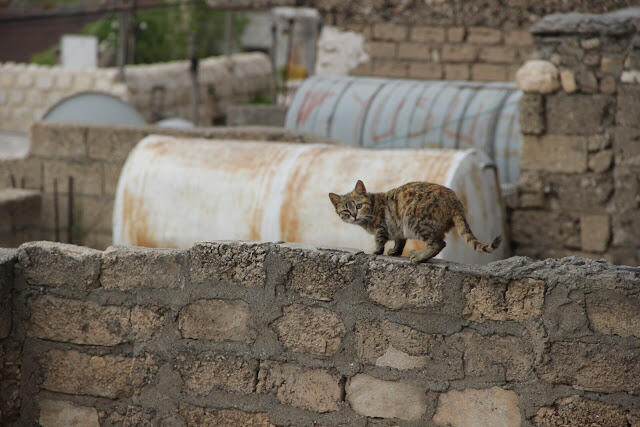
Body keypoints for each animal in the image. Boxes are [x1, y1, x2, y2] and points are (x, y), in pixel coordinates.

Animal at [328, 180, 502, 262]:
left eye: (358, 206)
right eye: (345, 211)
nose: (354, 215)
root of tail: (454, 200)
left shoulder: (382, 228)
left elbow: (379, 241)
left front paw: (377, 251)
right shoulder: (398, 228)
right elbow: (400, 241)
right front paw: (395, 251)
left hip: (415, 221)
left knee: (439, 243)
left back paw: (420, 256)